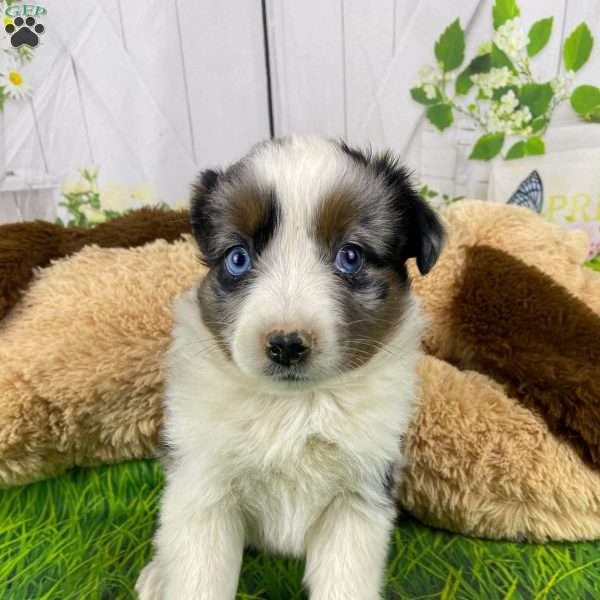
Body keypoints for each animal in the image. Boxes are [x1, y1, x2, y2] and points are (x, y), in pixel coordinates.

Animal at [137, 136, 446, 600]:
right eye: (238, 258)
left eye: (350, 256)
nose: (286, 346)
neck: (295, 407)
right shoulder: (204, 487)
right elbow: (198, 577)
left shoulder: (358, 497)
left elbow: (346, 582)